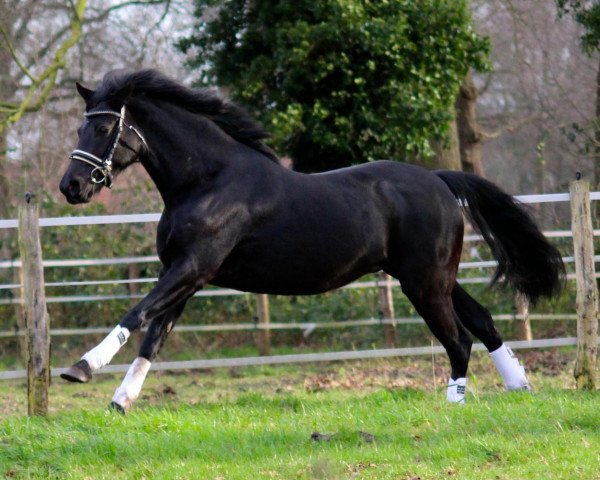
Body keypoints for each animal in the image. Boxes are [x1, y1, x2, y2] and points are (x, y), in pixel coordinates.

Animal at [58, 69, 564, 410]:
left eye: (103, 127)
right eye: (80, 126)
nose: (71, 187)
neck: (207, 181)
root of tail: (439, 181)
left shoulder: (193, 267)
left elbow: (138, 313)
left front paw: (80, 368)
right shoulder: (185, 275)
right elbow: (154, 335)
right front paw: (121, 400)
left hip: (423, 283)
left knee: (459, 339)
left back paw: (454, 404)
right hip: (434, 277)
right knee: (482, 323)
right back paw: (520, 387)